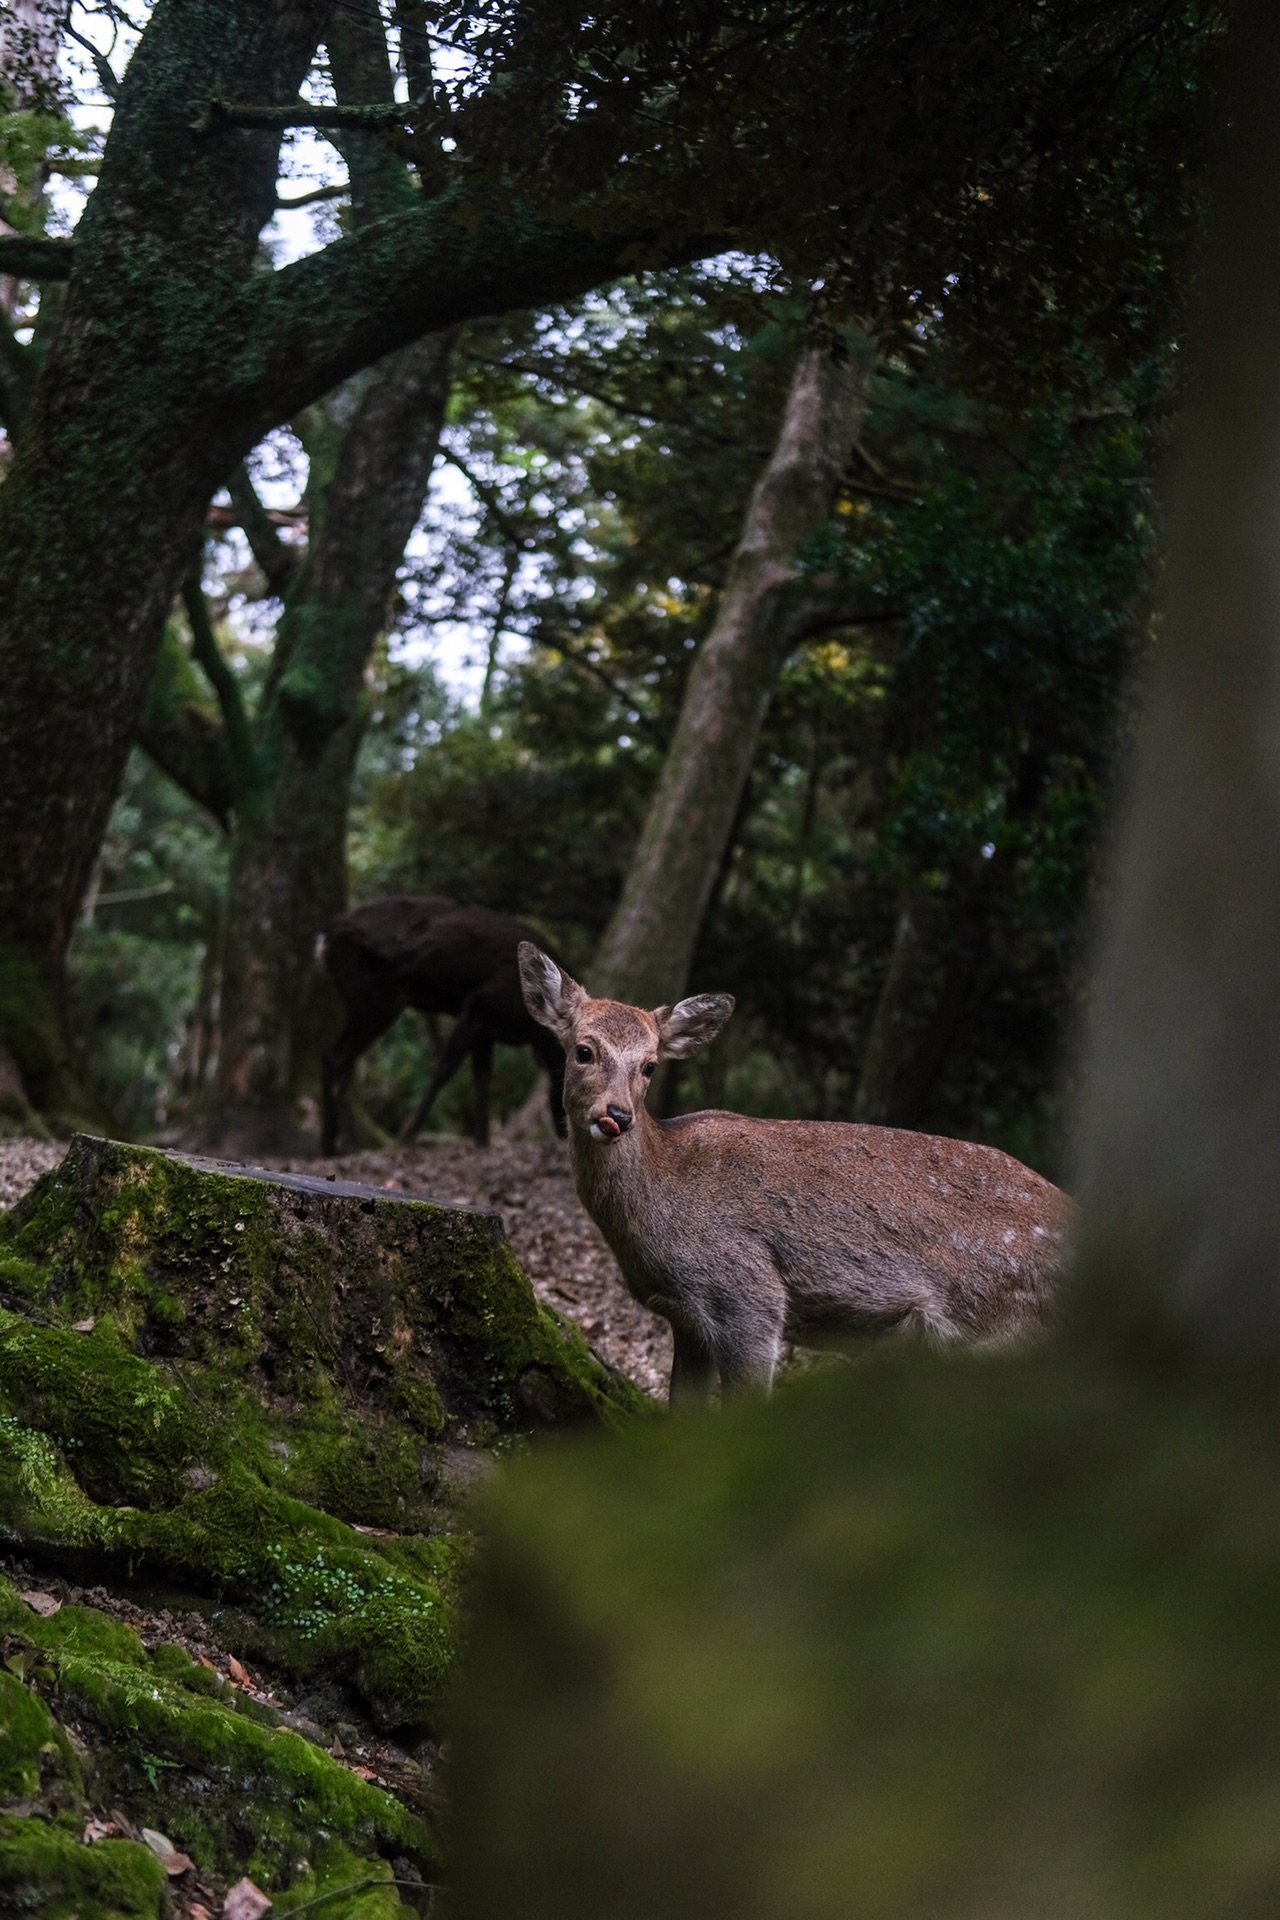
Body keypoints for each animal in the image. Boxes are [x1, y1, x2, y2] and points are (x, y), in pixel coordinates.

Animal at [318, 898, 564, 1152]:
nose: (564, 1134)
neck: (532, 1032)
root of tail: (325, 938)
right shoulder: (478, 1008)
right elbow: (445, 1069)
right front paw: (406, 1137)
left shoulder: (487, 1030)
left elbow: (482, 1078)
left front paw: (482, 1142)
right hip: (374, 999)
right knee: (337, 1057)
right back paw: (339, 1146)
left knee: (338, 1059)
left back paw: (336, 1145)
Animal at [518, 940, 1074, 1405]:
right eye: (583, 1050)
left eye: (650, 1065)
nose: (616, 1115)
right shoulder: (687, 1320)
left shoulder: (748, 1292)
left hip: (1006, 1327)